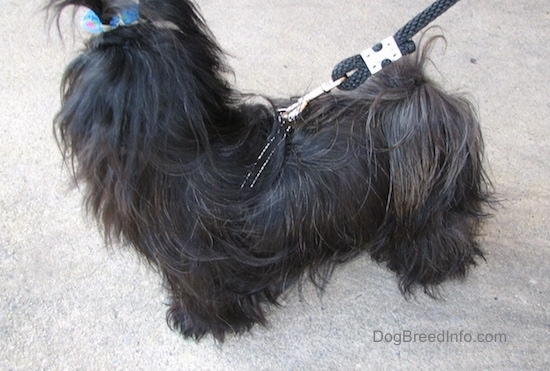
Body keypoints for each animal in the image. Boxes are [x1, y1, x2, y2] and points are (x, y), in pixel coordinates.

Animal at [49, 0, 494, 342]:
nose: (97, 33)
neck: (195, 145)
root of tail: (438, 110)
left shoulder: (196, 266)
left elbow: (203, 296)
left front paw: (195, 323)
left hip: (430, 214)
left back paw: (435, 267)